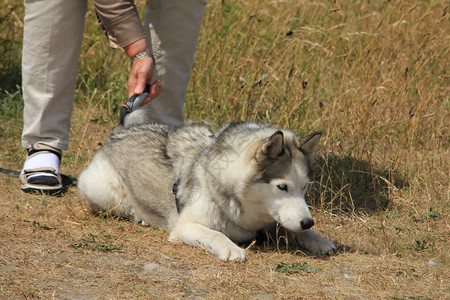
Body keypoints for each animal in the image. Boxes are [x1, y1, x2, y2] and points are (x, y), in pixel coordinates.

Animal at [77, 122, 336, 260]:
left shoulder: (273, 220)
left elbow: (291, 229)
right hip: (103, 191)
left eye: (305, 187)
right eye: (282, 187)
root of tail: (120, 130)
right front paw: (232, 249)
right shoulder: (185, 226)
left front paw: (318, 239)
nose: (308, 221)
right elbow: (215, 234)